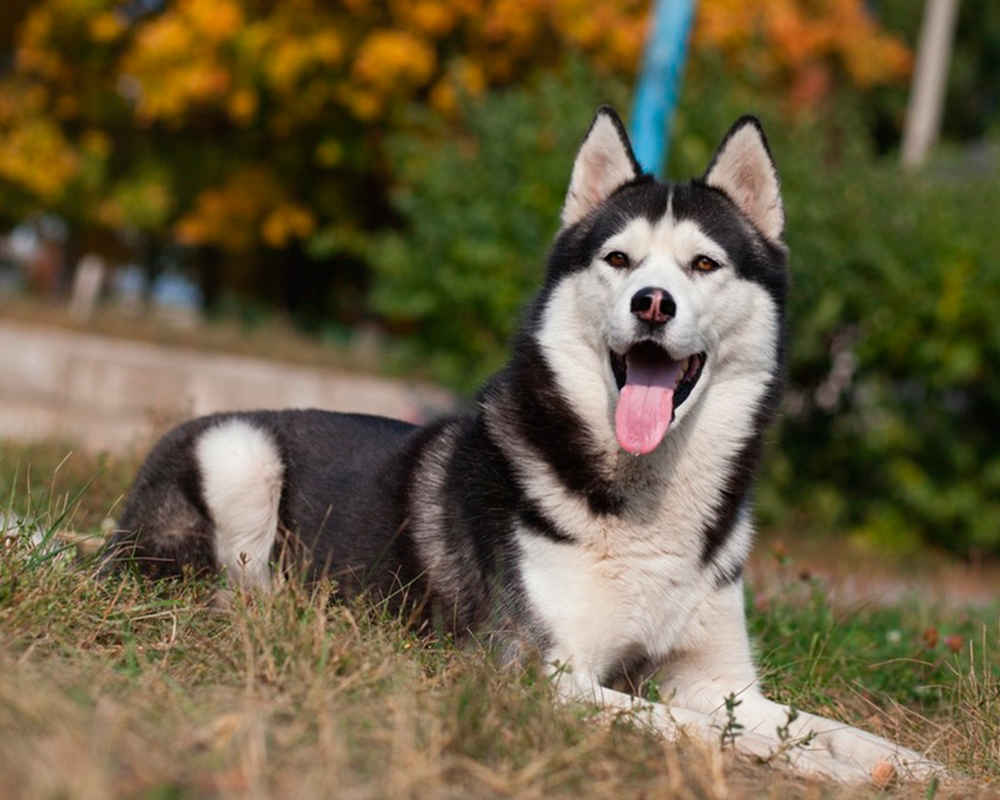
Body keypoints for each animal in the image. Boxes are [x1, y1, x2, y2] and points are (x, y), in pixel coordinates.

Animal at [101, 109, 936, 784]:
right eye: (619, 260)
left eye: (703, 264)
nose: (652, 304)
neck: (643, 499)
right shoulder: (540, 674)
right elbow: (699, 729)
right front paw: (814, 770)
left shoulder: (720, 679)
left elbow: (819, 726)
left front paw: (915, 765)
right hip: (239, 454)